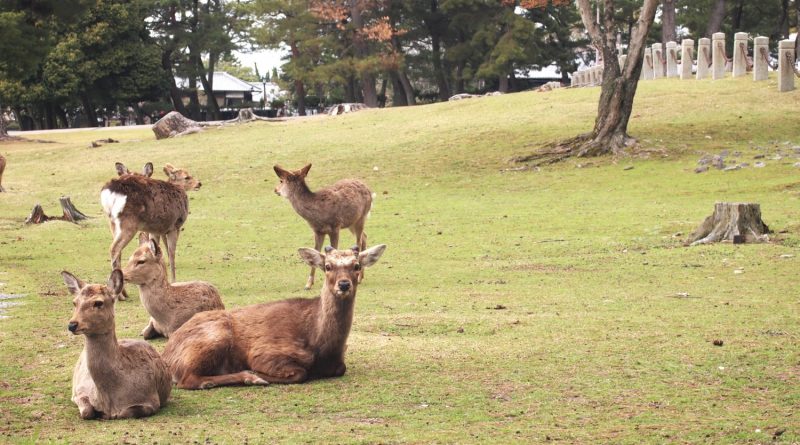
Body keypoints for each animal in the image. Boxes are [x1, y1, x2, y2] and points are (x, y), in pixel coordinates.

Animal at [63, 268, 172, 418]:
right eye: (75, 302)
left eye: (98, 302)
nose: (72, 325)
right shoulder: (80, 391)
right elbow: (86, 411)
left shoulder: (151, 400)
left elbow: (125, 412)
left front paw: (107, 415)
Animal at [99, 161, 187, 300]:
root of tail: (109, 192)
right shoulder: (175, 225)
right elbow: (172, 253)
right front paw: (174, 281)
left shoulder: (156, 229)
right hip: (129, 223)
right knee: (114, 248)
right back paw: (120, 295)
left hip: (112, 222)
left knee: (117, 250)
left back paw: (123, 291)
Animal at [161, 243, 386, 388]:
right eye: (328, 266)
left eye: (356, 266)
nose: (344, 284)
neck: (321, 343)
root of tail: (168, 357)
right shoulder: (264, 352)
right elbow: (300, 373)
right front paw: (256, 374)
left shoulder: (339, 363)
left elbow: (341, 368)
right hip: (215, 336)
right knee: (188, 380)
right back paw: (249, 377)